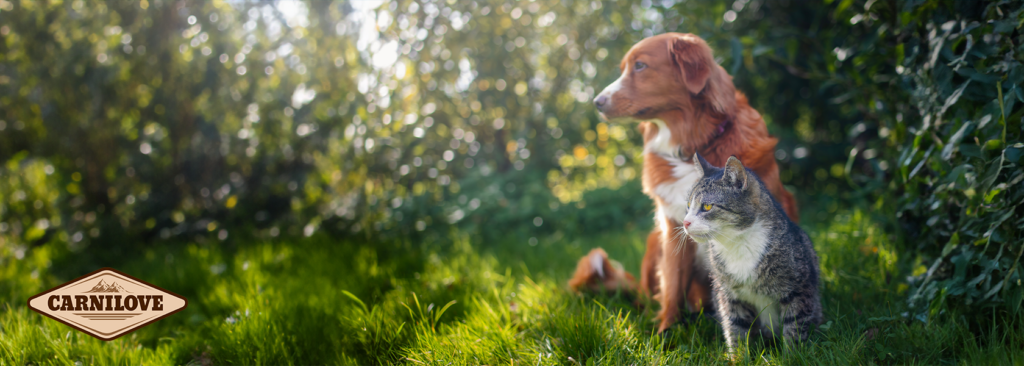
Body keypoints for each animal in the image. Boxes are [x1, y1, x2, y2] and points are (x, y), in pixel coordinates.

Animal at [573, 32, 794, 332]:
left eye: (640, 66)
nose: (597, 101)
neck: (691, 149)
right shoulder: (673, 226)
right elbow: (673, 284)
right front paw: (666, 331)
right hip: (654, 242)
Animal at [684, 152, 819, 352]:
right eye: (688, 205)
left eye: (707, 206)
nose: (685, 222)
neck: (737, 244)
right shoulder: (729, 295)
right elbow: (736, 328)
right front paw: (738, 356)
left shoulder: (798, 288)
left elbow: (794, 326)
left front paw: (793, 354)